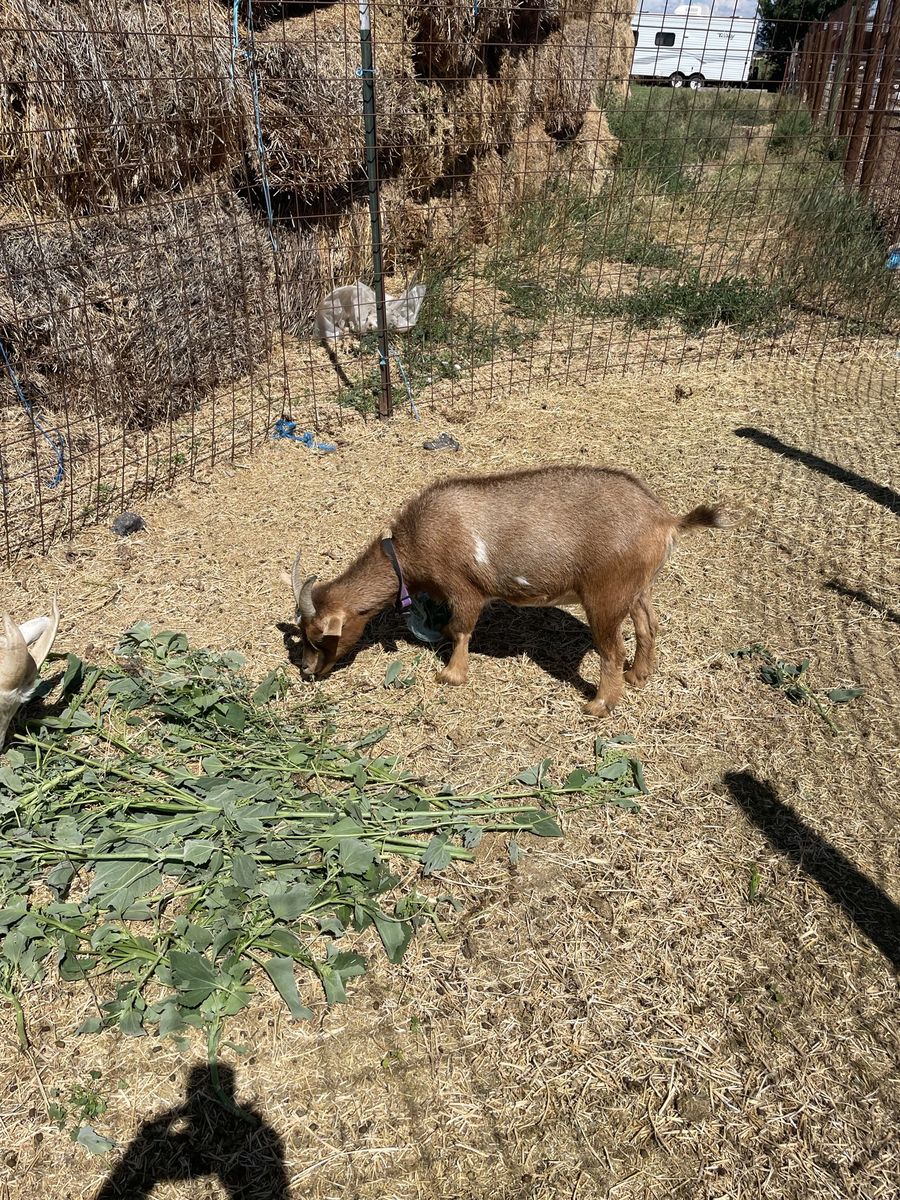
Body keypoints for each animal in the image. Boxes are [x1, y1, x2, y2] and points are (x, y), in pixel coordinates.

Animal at [283, 466, 730, 716]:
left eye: (318, 636)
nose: (306, 671)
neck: (409, 549)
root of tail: (664, 520)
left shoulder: (464, 589)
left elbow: (462, 629)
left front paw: (451, 675)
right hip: (635, 587)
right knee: (647, 625)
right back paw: (639, 675)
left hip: (605, 593)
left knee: (611, 649)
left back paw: (600, 706)